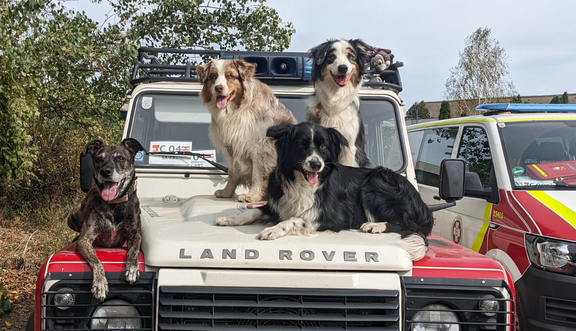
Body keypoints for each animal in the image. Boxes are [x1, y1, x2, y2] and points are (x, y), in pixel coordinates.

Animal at [68, 137, 145, 300]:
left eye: (120, 158)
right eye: (99, 159)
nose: (105, 171)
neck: (114, 204)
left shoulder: (135, 234)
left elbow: (134, 250)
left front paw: (132, 268)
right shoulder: (85, 240)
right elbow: (97, 261)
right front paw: (100, 284)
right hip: (73, 215)